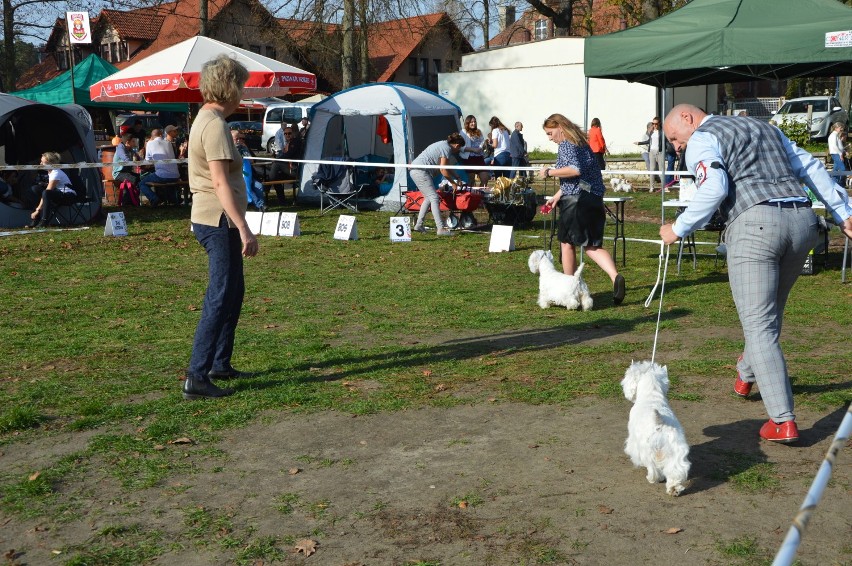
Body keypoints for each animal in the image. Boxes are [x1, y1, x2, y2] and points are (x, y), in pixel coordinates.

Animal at [620, 364, 692, 496]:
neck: (651, 395)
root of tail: (659, 422)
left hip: (649, 450)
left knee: (653, 469)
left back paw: (653, 479)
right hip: (676, 451)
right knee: (675, 471)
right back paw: (674, 489)